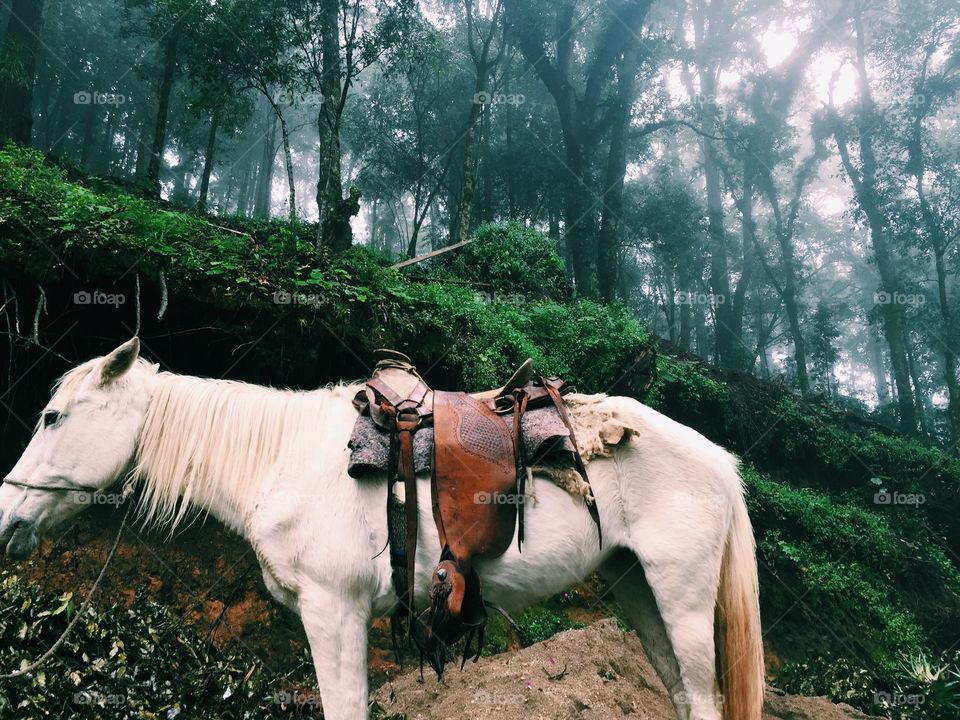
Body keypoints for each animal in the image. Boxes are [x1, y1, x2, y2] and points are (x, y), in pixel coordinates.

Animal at [1, 338, 764, 720]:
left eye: (53, 418)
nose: (6, 517)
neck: (284, 459)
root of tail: (721, 461)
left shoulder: (333, 614)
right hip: (636, 589)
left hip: (683, 599)